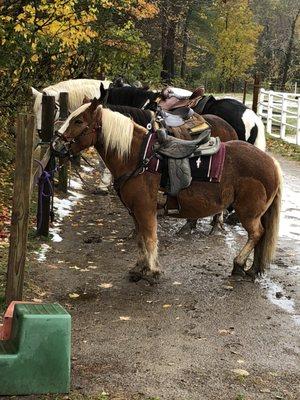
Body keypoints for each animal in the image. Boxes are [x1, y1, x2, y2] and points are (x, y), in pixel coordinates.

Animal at [53, 99, 282, 282]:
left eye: (78, 121)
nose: (56, 145)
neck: (139, 158)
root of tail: (270, 163)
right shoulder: (135, 212)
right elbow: (140, 240)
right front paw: (139, 267)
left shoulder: (145, 209)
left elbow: (150, 238)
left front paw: (152, 270)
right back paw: (251, 268)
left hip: (248, 213)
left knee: (257, 233)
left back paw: (238, 263)